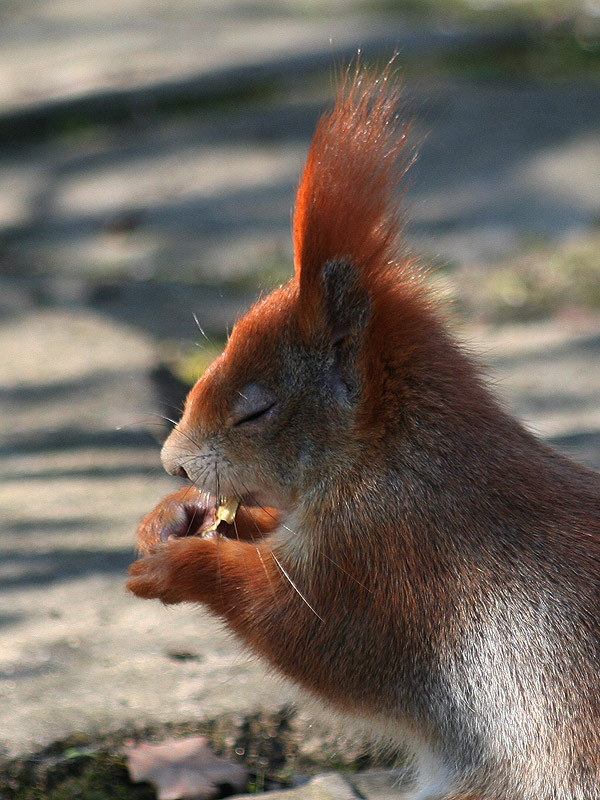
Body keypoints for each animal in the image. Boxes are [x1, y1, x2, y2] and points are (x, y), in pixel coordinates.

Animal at [126, 70, 600, 800]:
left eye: (256, 411)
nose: (172, 464)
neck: (391, 457)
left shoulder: (393, 562)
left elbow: (310, 633)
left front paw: (182, 565)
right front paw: (172, 517)